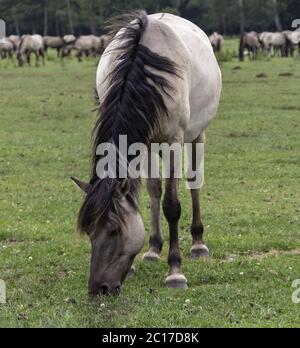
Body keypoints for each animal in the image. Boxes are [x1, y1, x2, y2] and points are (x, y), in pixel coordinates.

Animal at [72, 12, 221, 296]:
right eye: (89, 231)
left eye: (114, 231)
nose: (99, 289)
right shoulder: (140, 143)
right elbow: (146, 196)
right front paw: (137, 262)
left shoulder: (174, 142)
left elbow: (172, 206)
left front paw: (175, 272)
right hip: (151, 145)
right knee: (154, 189)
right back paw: (153, 248)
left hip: (197, 135)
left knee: (194, 182)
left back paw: (198, 243)